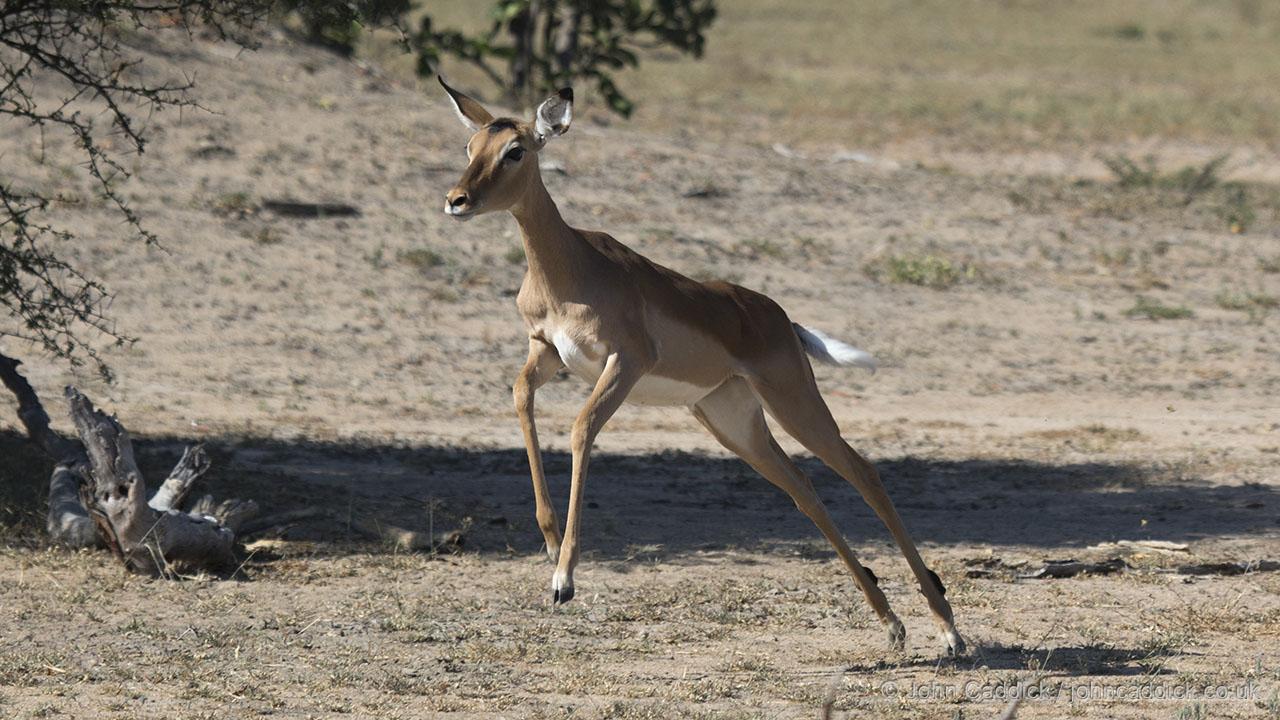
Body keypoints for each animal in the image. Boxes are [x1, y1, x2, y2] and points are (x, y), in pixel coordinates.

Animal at [437, 77, 964, 655]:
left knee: (863, 471)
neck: (571, 270)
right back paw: (893, 624)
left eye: (516, 150)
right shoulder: (546, 351)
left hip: (792, 401)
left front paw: (564, 579)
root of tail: (780, 317)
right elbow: (520, 399)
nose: (456, 200)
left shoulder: (626, 361)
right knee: (803, 490)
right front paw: (552, 549)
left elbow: (579, 430)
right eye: (470, 146)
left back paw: (948, 629)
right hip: (733, 423)